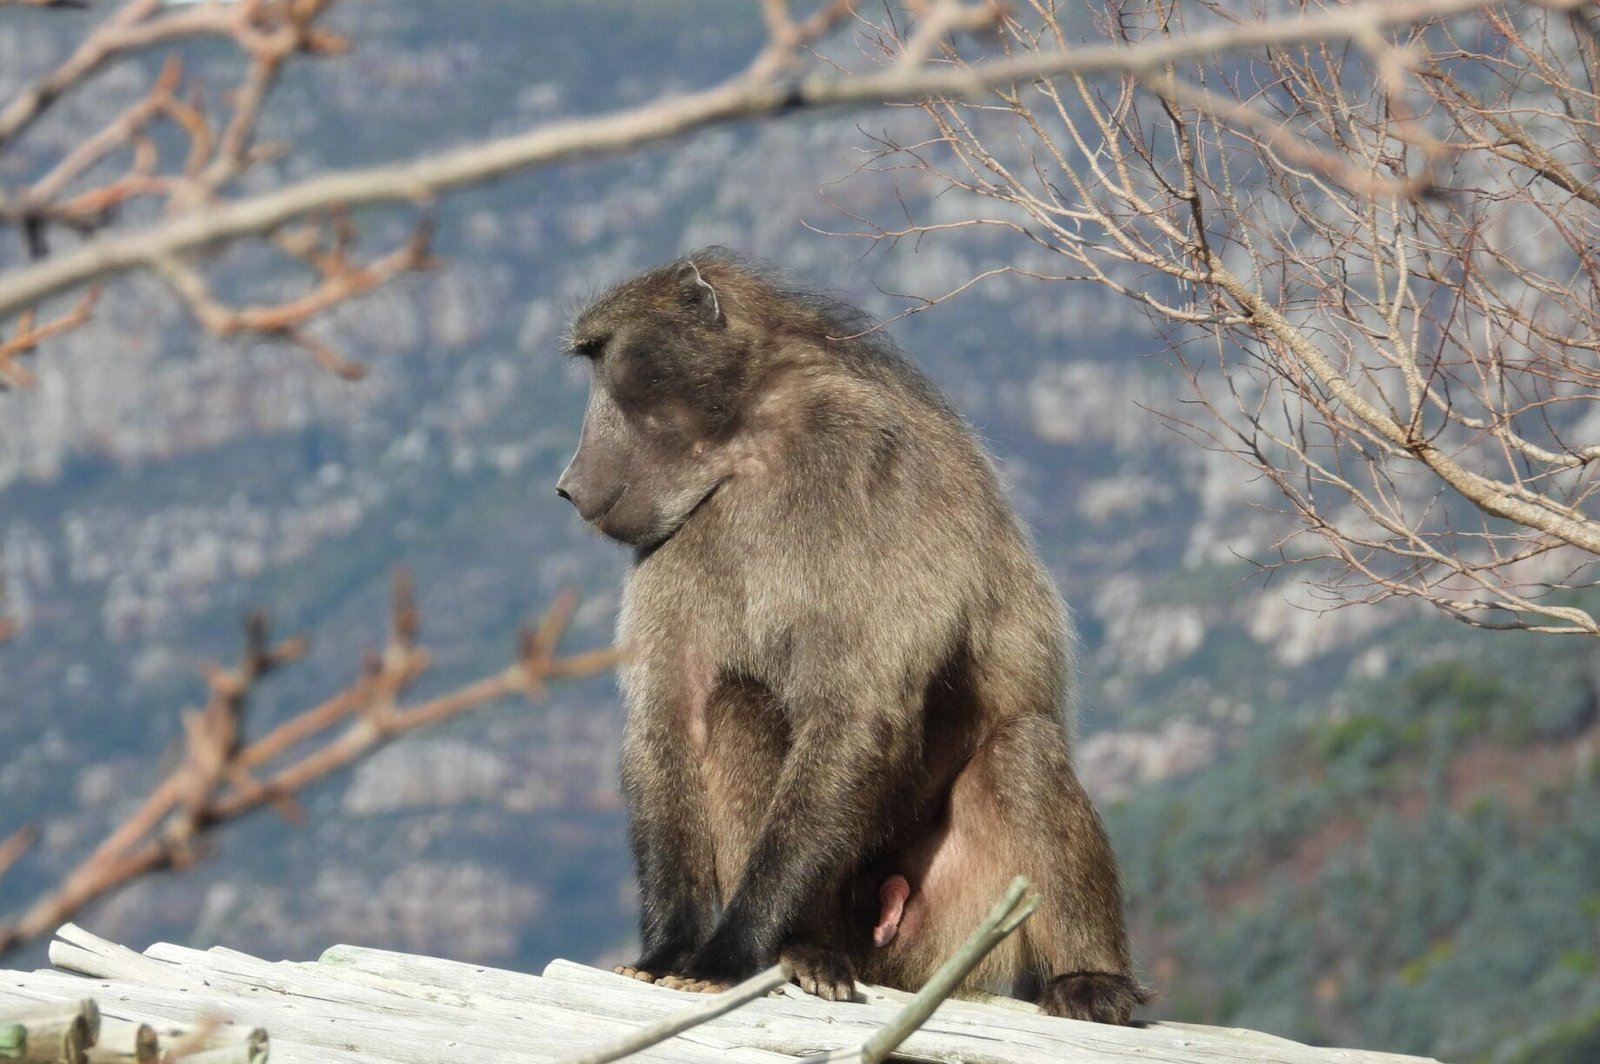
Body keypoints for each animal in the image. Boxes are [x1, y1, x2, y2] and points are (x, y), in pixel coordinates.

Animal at [554, 250, 1150, 1024]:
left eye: (603, 359)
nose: (567, 484)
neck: (753, 447)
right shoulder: (680, 535)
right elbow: (672, 713)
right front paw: (670, 951)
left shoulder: (862, 460)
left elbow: (860, 711)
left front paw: (722, 957)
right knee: (736, 709)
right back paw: (806, 950)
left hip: (950, 926)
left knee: (1022, 751)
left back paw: (1093, 979)